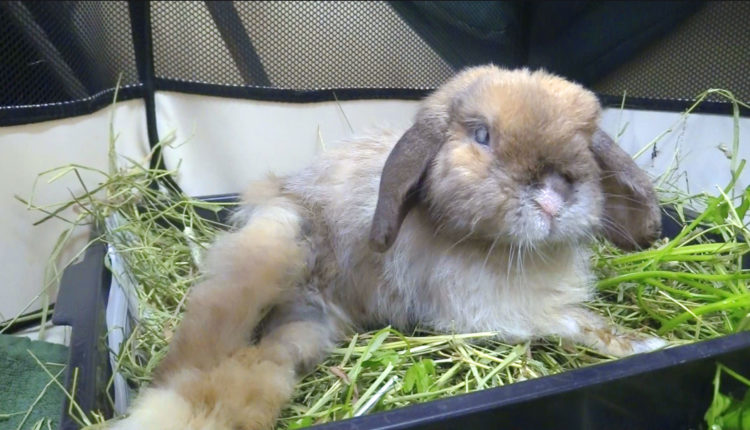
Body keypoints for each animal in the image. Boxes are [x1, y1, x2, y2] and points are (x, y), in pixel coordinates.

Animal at [111, 65, 666, 430]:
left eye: (585, 140)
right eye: (482, 135)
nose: (554, 197)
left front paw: (651, 343)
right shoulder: (501, 312)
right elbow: (578, 323)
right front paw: (648, 345)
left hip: (304, 330)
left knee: (258, 370)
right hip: (274, 245)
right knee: (200, 343)